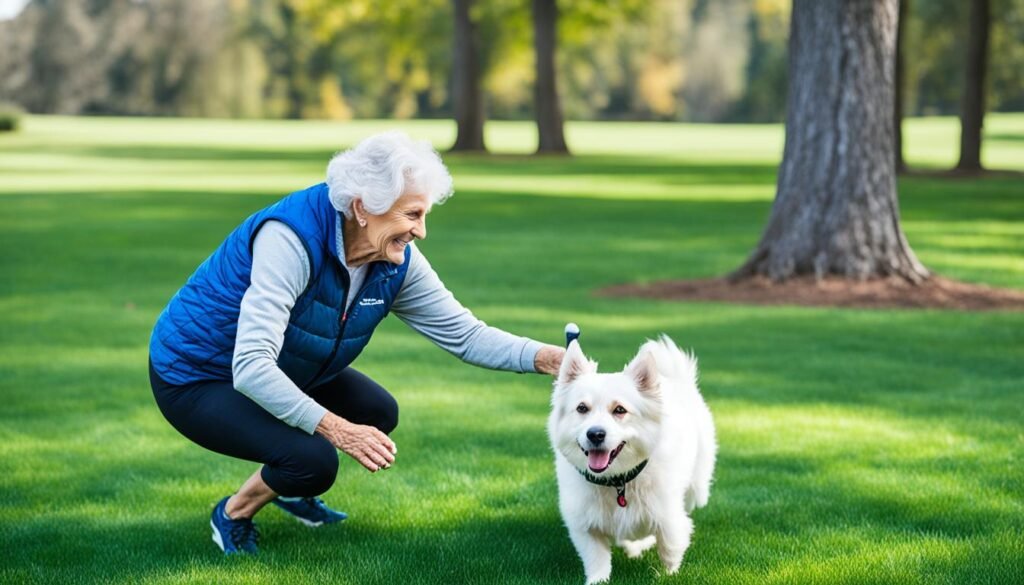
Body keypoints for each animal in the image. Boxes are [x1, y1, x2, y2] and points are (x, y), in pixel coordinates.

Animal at [548, 336, 716, 581]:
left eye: (619, 410)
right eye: (582, 408)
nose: (595, 434)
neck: (617, 481)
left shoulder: (668, 515)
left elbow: (670, 546)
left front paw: (668, 575)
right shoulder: (585, 525)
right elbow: (596, 559)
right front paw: (598, 580)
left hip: (697, 485)